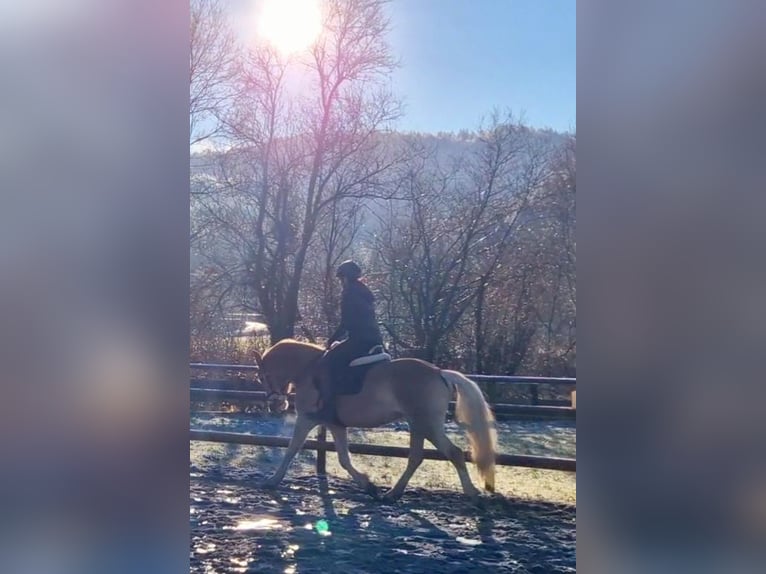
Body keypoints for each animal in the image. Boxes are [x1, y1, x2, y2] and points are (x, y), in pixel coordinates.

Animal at [252, 340, 498, 502]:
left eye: (262, 376)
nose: (275, 405)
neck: (309, 370)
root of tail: (439, 372)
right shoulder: (335, 425)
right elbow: (343, 458)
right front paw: (367, 485)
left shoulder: (306, 419)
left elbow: (292, 449)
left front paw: (272, 481)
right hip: (417, 424)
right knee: (416, 457)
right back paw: (393, 493)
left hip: (427, 424)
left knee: (453, 453)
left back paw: (472, 493)